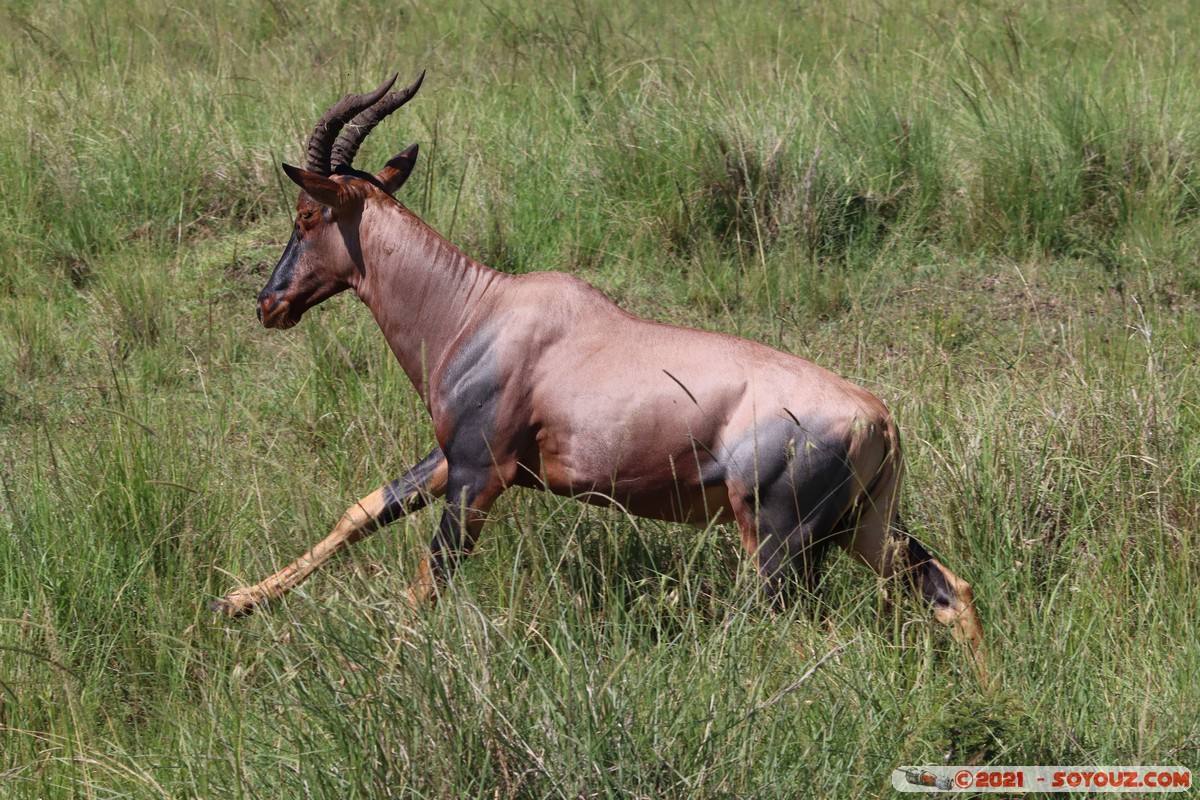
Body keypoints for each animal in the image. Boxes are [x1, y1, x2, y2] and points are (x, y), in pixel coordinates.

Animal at [213, 70, 984, 681]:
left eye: (306, 213)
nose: (269, 304)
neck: (482, 308)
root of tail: (879, 418)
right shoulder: (452, 458)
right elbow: (363, 510)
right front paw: (237, 600)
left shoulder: (478, 477)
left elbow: (427, 582)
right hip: (864, 526)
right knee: (952, 591)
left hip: (779, 544)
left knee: (806, 636)